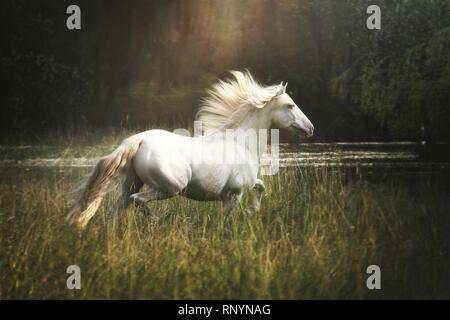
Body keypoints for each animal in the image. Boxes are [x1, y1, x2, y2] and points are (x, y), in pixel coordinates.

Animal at [67, 71, 312, 229]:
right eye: (290, 105)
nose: (310, 128)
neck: (241, 144)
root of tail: (139, 140)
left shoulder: (246, 186)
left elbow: (261, 187)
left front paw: (252, 212)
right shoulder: (234, 195)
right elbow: (227, 221)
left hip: (132, 183)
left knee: (115, 209)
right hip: (170, 187)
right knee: (138, 200)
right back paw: (156, 221)